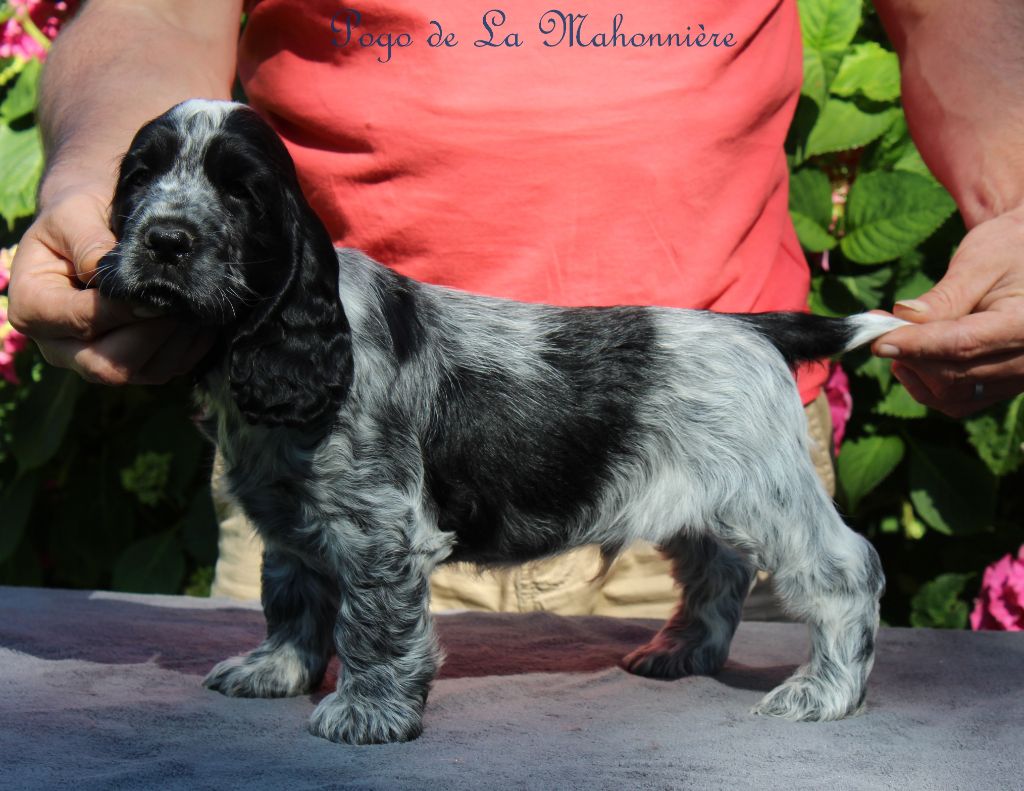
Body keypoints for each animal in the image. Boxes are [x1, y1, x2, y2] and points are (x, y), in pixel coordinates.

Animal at [97, 99, 905, 745]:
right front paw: (276, 669)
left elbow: (375, 622)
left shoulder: (381, 527)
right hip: (699, 497)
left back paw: (824, 692)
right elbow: (291, 595)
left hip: (767, 490)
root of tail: (751, 326)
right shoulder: (297, 513)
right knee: (719, 570)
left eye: (241, 194)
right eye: (138, 178)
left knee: (845, 569)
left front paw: (367, 714)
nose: (165, 240)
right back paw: (681, 652)